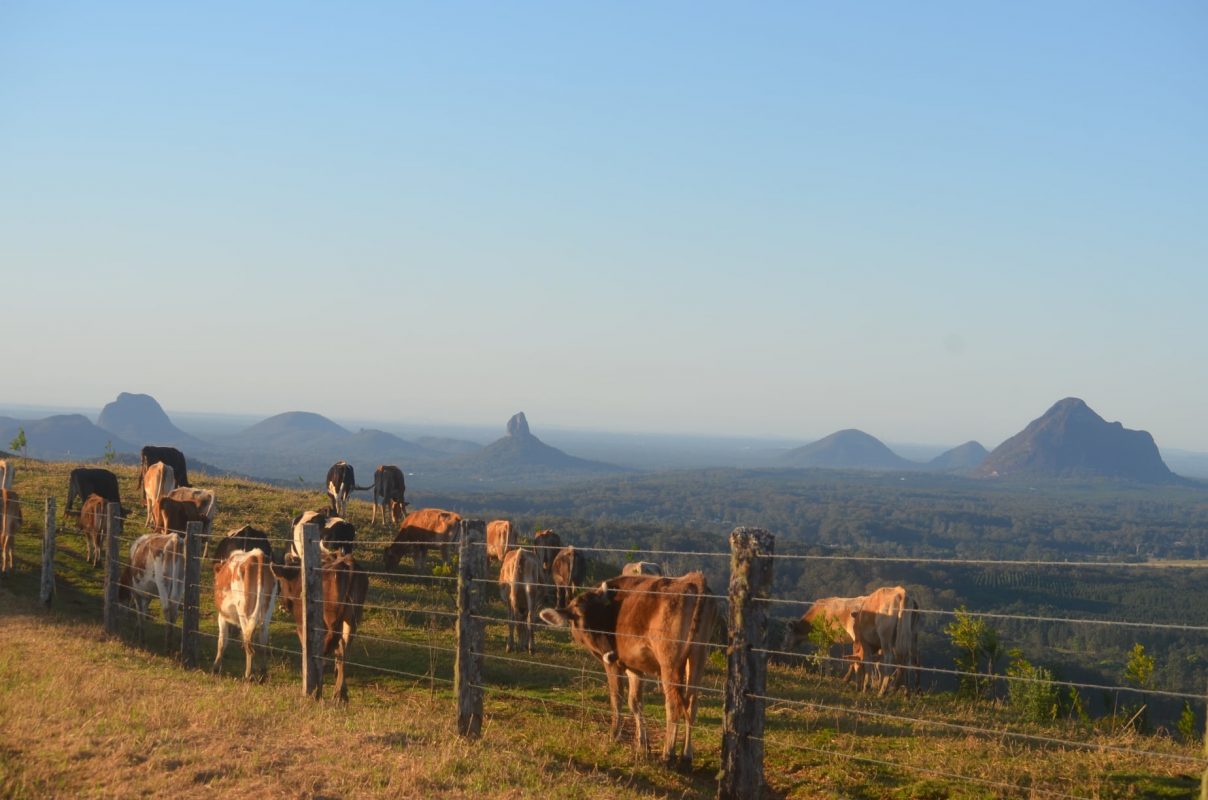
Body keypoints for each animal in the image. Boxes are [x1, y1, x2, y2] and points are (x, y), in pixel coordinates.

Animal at [271, 555, 364, 705]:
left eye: (281, 581)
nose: (282, 606)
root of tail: (348, 561)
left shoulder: (302, 626)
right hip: (353, 617)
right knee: (343, 648)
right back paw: (341, 694)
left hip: (333, 621)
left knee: (331, 650)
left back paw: (322, 692)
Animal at [538, 577, 715, 773]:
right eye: (585, 624)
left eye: (603, 619)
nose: (611, 653)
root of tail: (693, 580)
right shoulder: (634, 667)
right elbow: (635, 702)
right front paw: (642, 745)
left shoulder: (614, 664)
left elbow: (617, 699)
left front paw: (613, 736)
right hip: (698, 654)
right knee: (692, 704)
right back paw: (686, 757)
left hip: (669, 660)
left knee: (673, 704)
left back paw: (668, 755)